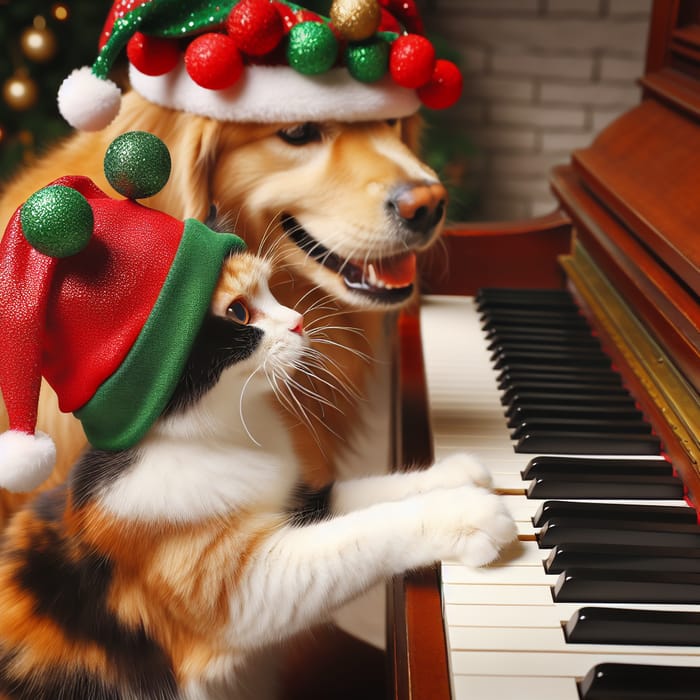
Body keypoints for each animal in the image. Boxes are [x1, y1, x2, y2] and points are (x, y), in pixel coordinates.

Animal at [0, 249, 516, 696]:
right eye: (239, 313)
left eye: (270, 290)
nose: (298, 320)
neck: (231, 432)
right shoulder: (242, 587)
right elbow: (364, 531)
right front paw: (466, 515)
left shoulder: (298, 497)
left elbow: (370, 493)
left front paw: (457, 473)